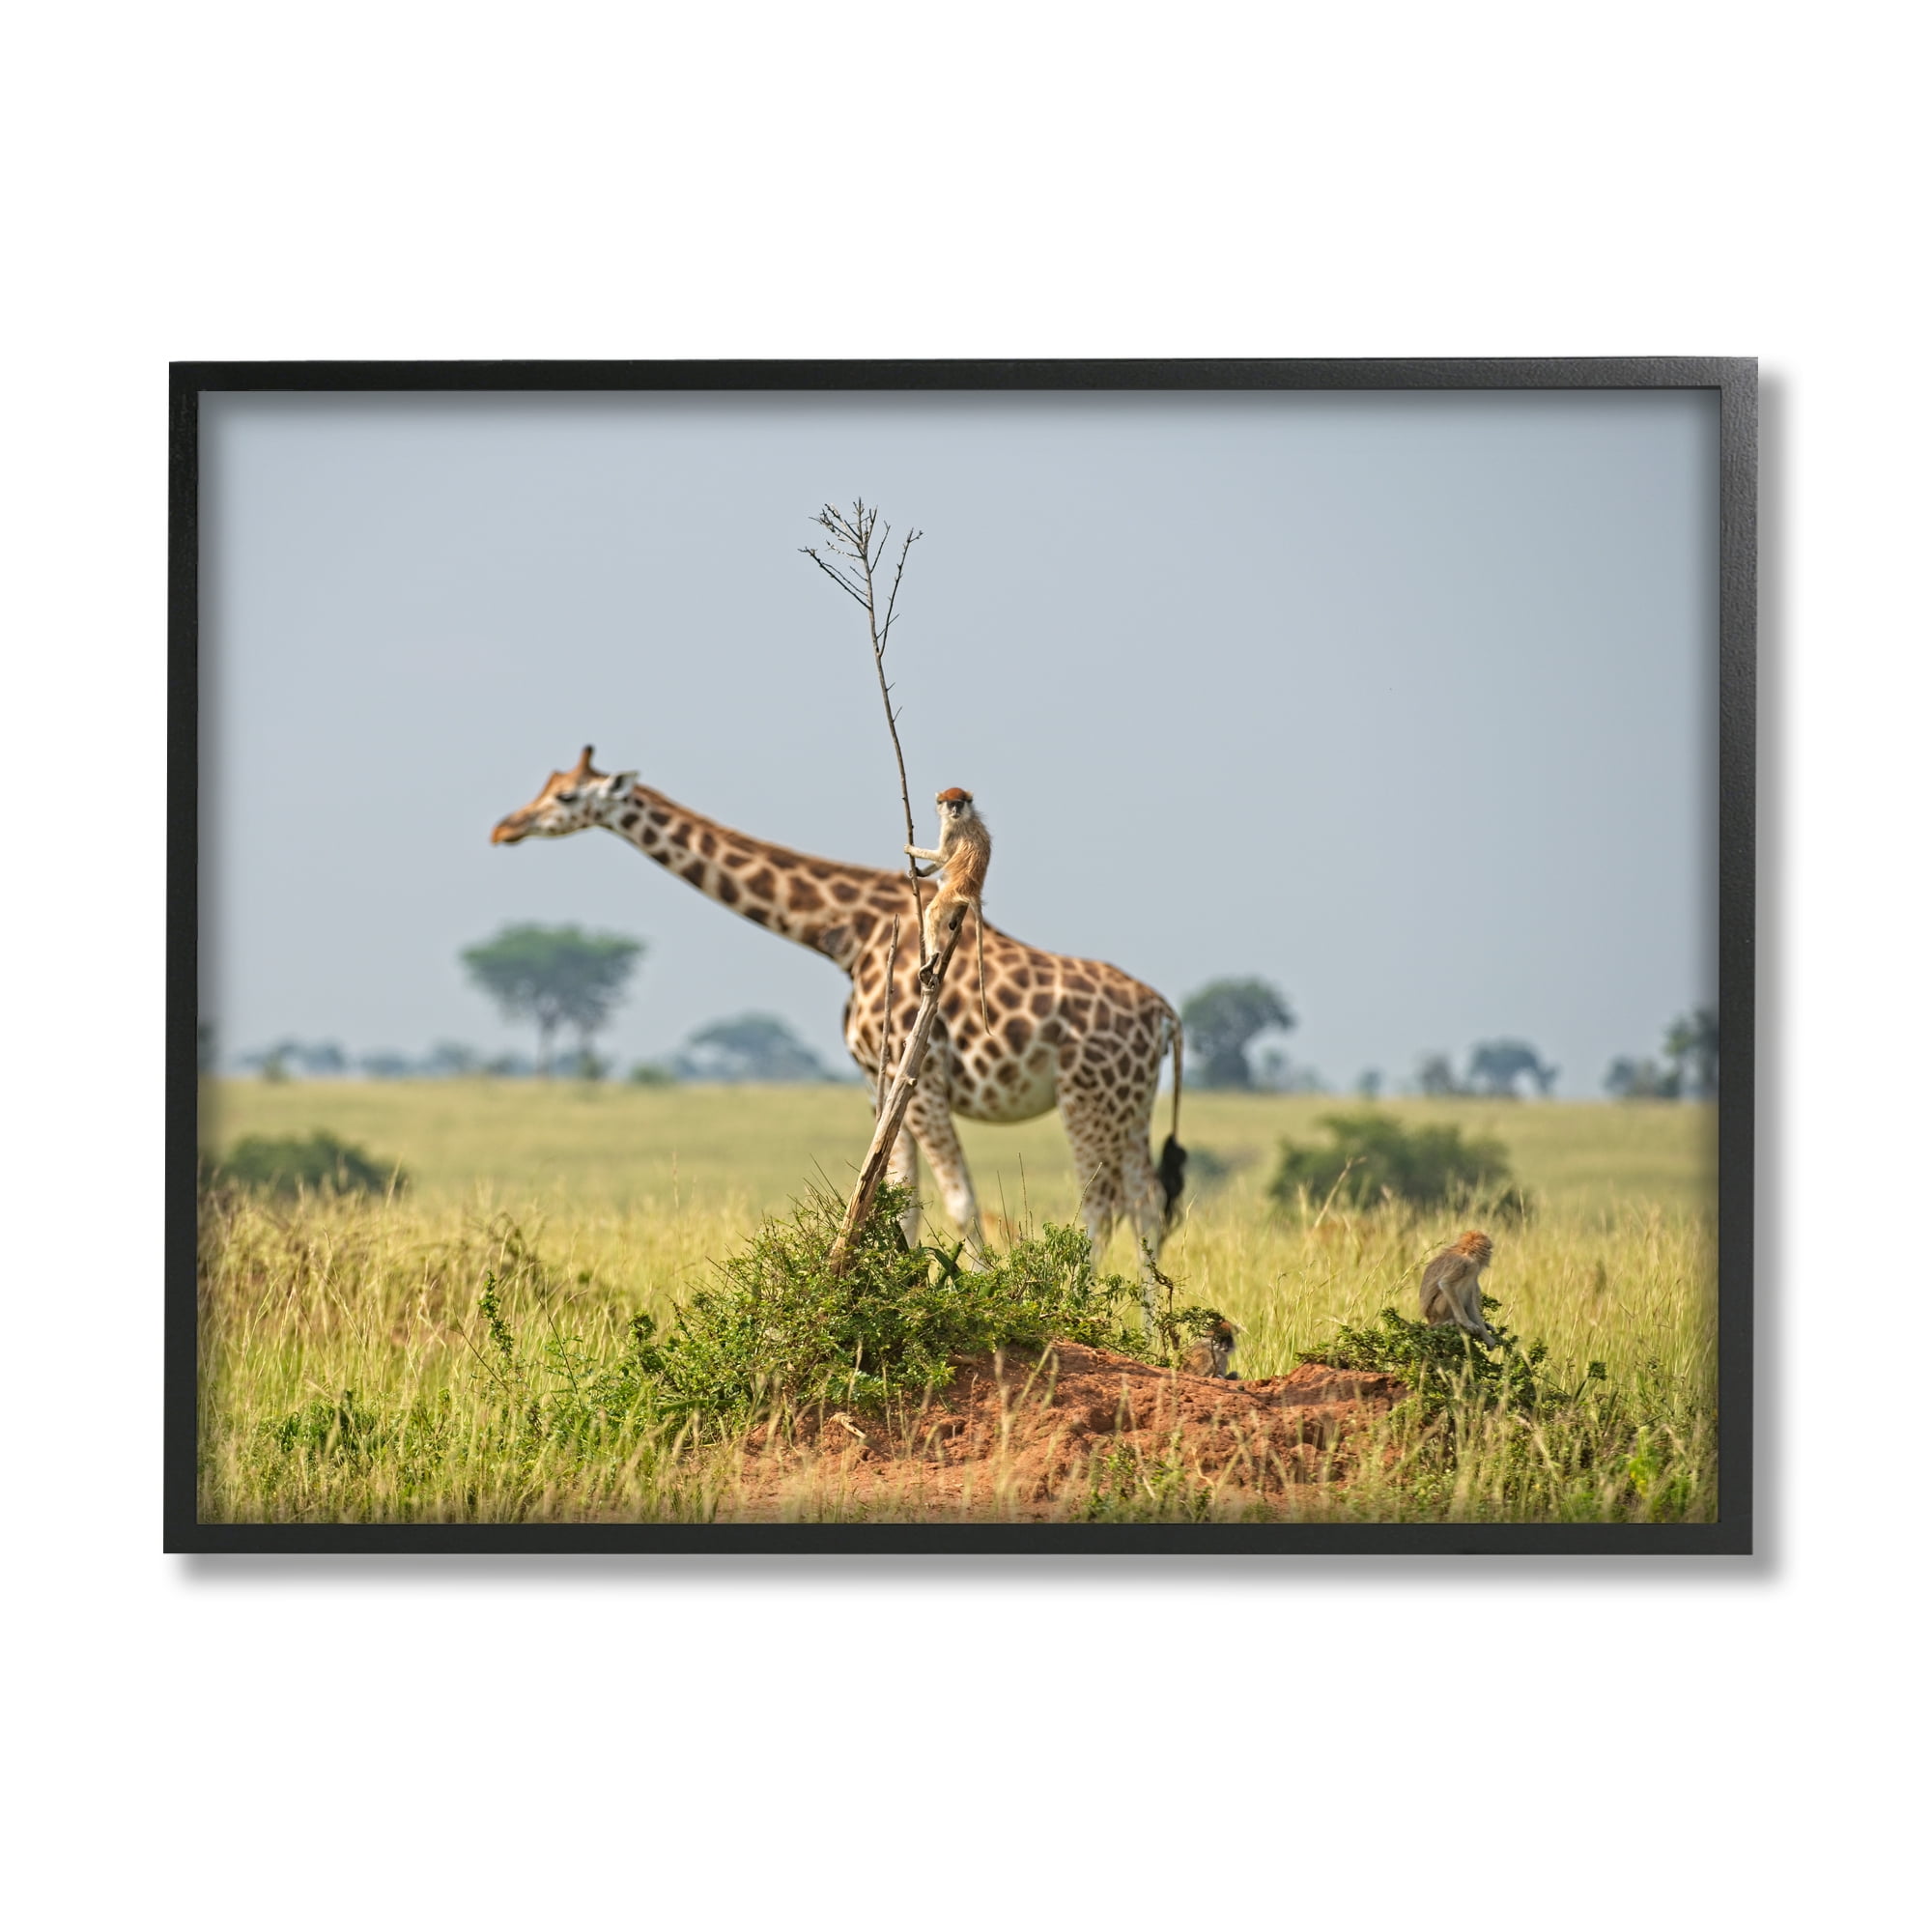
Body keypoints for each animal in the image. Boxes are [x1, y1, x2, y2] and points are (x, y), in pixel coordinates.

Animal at [905, 786, 993, 1032]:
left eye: (959, 803)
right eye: (950, 803)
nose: (954, 810)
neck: (966, 817)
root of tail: (972, 890)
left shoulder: (951, 830)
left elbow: (943, 856)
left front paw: (911, 849)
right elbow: (943, 860)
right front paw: (919, 872)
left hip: (951, 893)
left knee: (933, 911)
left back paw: (932, 958)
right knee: (942, 882)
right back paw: (955, 919)